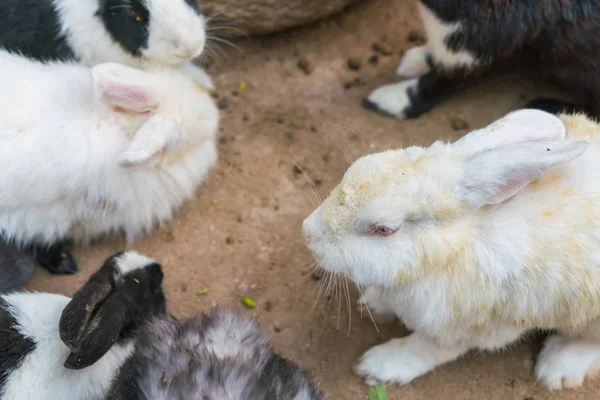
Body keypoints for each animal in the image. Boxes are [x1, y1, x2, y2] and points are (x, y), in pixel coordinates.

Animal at [304, 109, 600, 390]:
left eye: (385, 229)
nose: (307, 233)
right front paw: (374, 303)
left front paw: (377, 367)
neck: (451, 252)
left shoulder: (470, 328)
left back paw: (559, 367)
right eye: (354, 168)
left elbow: (426, 350)